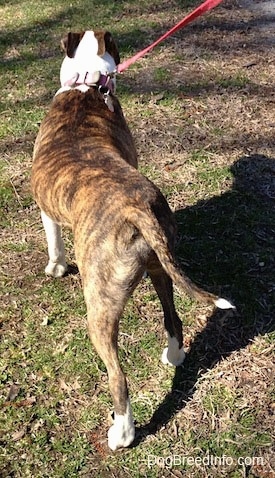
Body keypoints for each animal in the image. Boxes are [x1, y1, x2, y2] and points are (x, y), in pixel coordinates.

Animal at [31, 30, 234, 452]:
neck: (88, 85)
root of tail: (135, 209)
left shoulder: (47, 211)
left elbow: (53, 241)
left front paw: (55, 267)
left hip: (100, 306)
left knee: (117, 375)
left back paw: (123, 432)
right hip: (160, 265)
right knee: (172, 317)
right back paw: (175, 356)